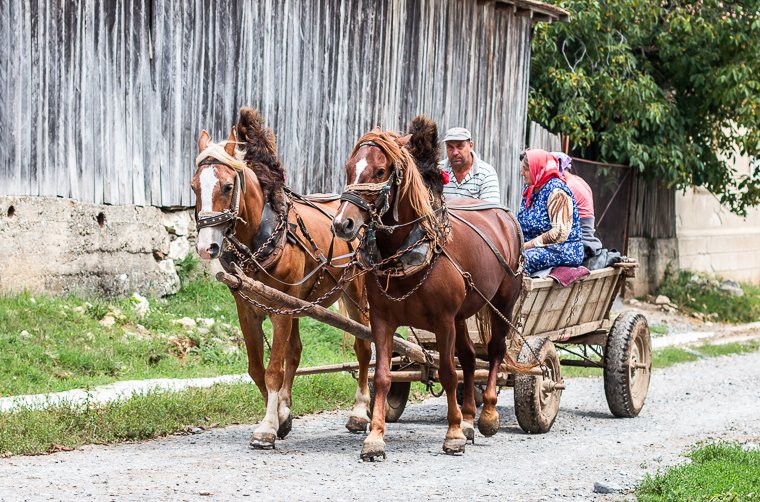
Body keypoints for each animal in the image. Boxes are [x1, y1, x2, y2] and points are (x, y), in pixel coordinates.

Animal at [191, 108, 372, 450]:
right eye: (195, 186)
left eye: (226, 187)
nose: (206, 247)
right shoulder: (248, 311)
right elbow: (257, 368)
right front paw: (281, 417)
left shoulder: (280, 312)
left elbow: (274, 368)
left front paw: (266, 428)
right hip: (299, 303)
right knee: (296, 351)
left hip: (355, 294)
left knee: (364, 346)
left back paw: (359, 412)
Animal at [332, 121, 528, 458]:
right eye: (349, 168)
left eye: (380, 171)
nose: (343, 223)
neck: (409, 249)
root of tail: (504, 217)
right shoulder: (382, 320)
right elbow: (382, 376)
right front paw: (375, 437)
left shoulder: (443, 320)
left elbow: (448, 373)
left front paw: (452, 434)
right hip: (463, 316)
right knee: (469, 359)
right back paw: (469, 419)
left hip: (502, 303)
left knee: (494, 352)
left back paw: (486, 415)